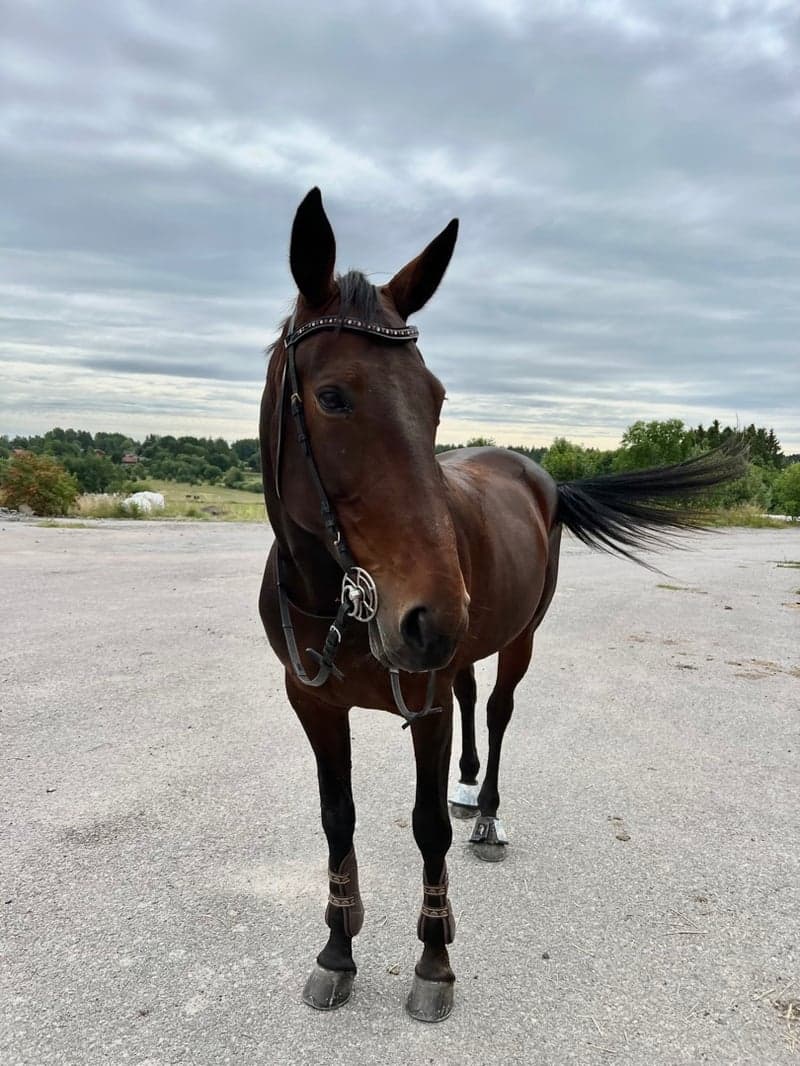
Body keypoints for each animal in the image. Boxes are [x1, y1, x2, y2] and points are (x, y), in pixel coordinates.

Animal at [260, 187, 750, 1019]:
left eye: (435, 399)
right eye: (331, 396)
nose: (426, 615)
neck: (335, 602)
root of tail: (537, 472)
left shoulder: (418, 702)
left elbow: (426, 827)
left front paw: (433, 962)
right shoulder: (313, 702)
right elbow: (337, 820)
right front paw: (337, 948)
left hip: (516, 636)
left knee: (495, 709)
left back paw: (484, 809)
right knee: (468, 692)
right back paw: (467, 786)